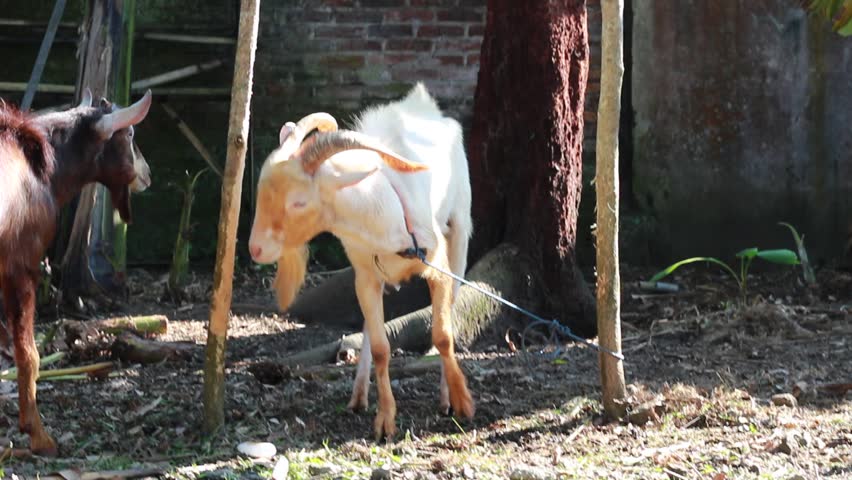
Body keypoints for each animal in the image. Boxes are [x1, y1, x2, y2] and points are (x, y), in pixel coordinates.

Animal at [0, 89, 152, 455]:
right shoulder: (21, 263)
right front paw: (38, 435)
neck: (45, 168)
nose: (147, 172)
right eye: (130, 134)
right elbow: (28, 353)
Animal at [249, 83, 474, 439]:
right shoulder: (366, 275)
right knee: (370, 328)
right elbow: (381, 347)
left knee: (452, 301)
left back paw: (445, 397)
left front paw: (461, 403)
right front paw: (384, 421)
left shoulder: (435, 263)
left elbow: (442, 334)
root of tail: (423, 104)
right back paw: (358, 395)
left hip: (460, 229)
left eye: (298, 202)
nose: (256, 249)